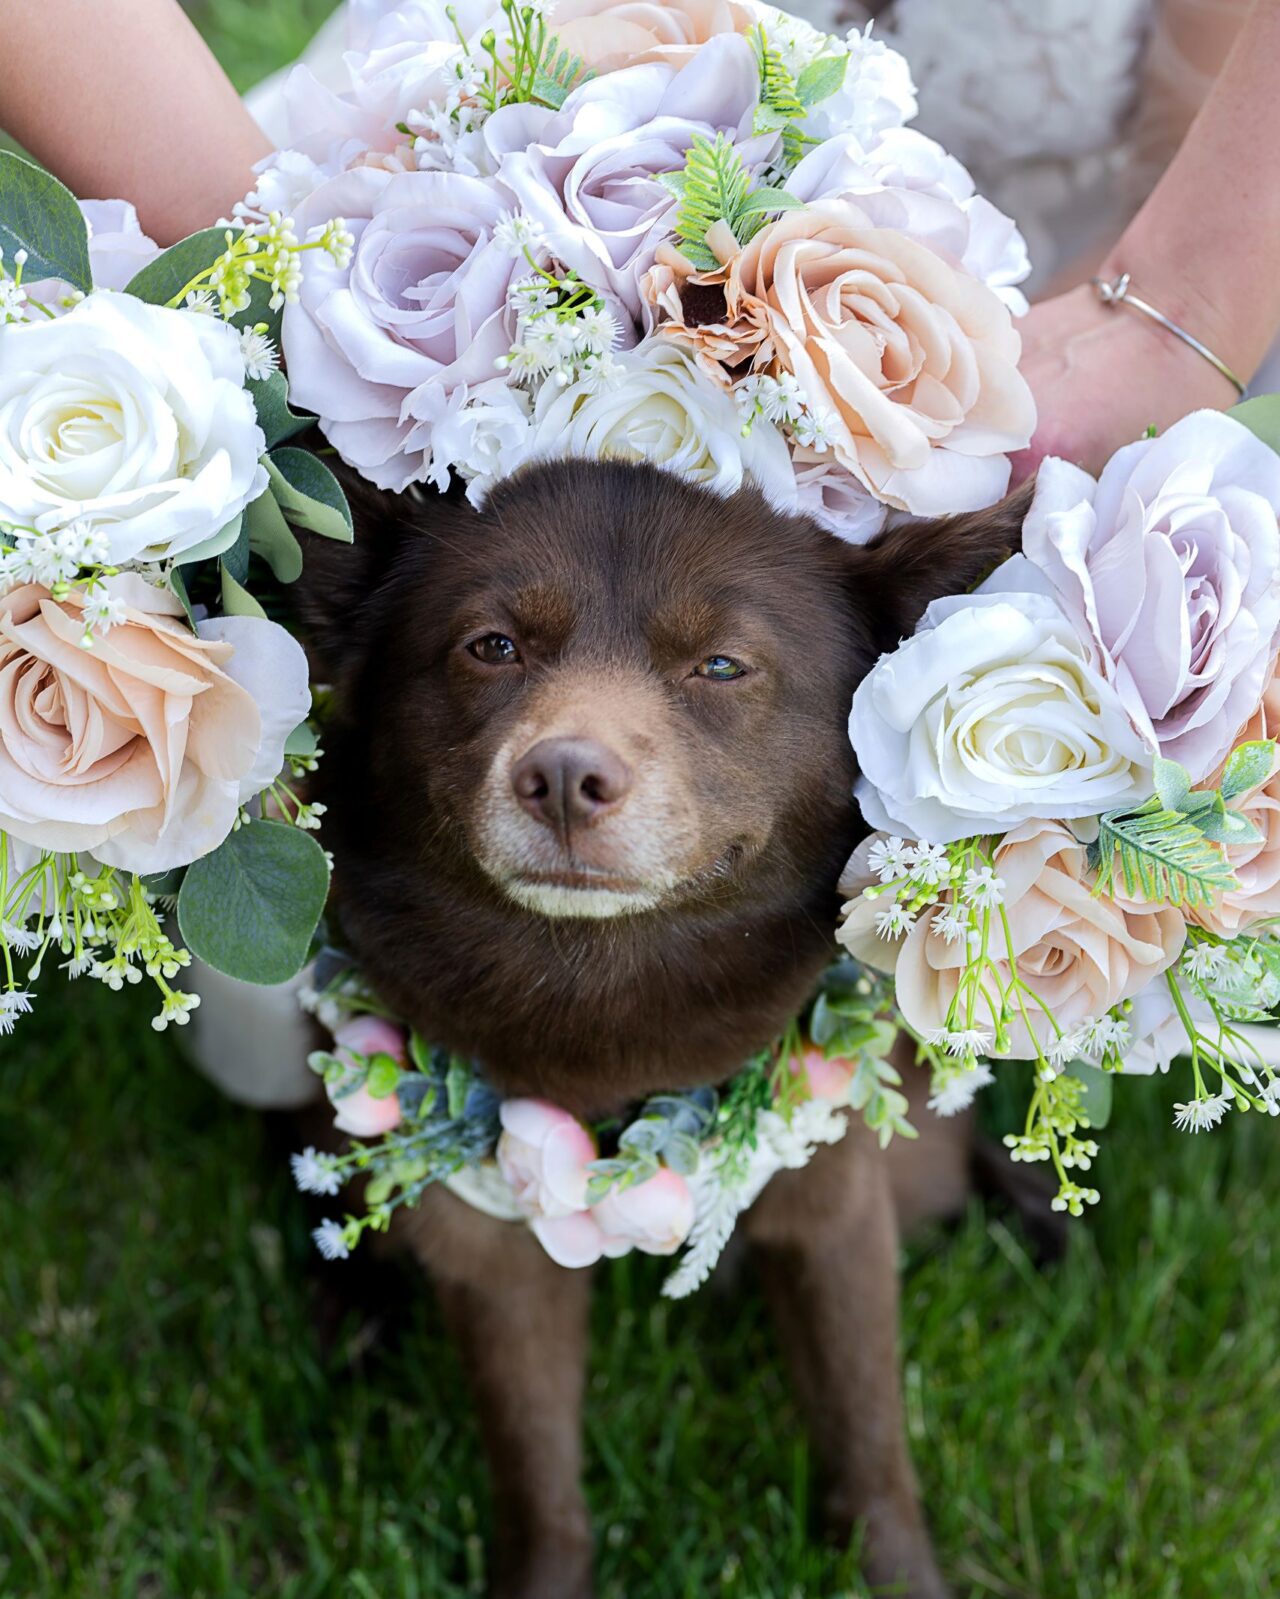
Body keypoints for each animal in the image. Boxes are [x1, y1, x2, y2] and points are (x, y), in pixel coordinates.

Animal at [297, 460, 1029, 1599]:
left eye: (721, 665)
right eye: (491, 645)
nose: (562, 777)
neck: (603, 990)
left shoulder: (832, 1199)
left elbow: (866, 1425)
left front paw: (898, 1573)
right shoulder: (491, 1248)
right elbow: (534, 1464)